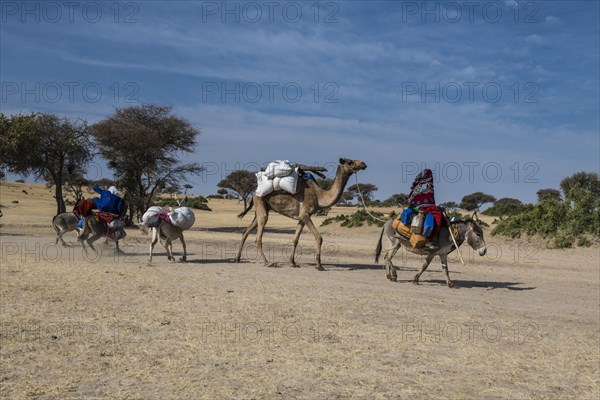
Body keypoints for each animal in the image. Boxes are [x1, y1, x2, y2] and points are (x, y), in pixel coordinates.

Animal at [237, 158, 368, 270]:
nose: (363, 164)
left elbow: (295, 239)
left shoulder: (302, 217)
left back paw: (238, 258)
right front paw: (319, 265)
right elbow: (319, 237)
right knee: (258, 236)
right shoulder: (305, 214)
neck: (319, 195)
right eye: (350, 162)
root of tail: (254, 192)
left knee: (246, 231)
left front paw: (293, 263)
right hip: (260, 202)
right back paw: (268, 263)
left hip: (261, 208)